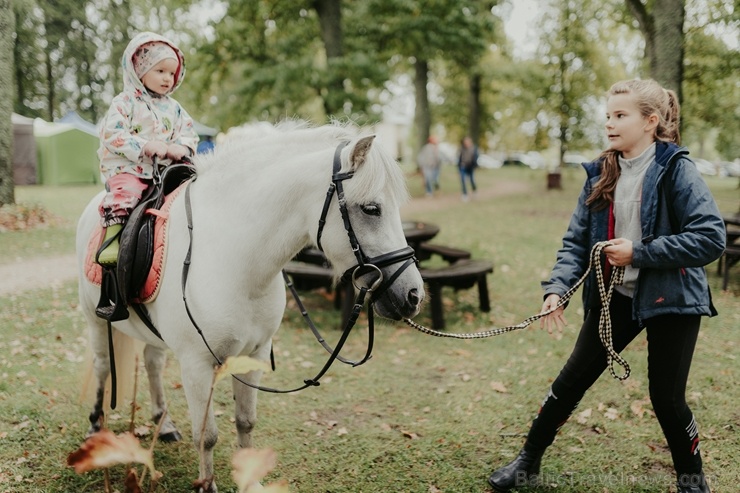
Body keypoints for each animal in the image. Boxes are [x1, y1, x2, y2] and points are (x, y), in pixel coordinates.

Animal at [76, 121, 424, 490]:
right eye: (371, 209)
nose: (413, 295)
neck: (235, 259)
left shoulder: (254, 354)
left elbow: (245, 421)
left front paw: (250, 480)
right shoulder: (197, 366)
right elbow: (207, 435)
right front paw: (207, 484)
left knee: (153, 363)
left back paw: (164, 424)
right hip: (95, 321)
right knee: (102, 366)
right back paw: (95, 426)